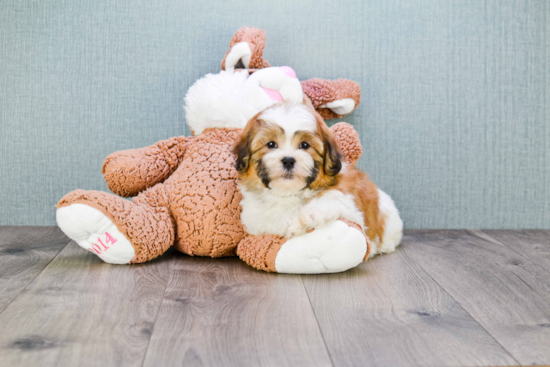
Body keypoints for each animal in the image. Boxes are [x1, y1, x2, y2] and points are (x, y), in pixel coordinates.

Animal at [234, 100, 406, 256]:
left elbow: (331, 202)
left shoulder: (348, 205)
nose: (288, 160)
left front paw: (309, 215)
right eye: (271, 144)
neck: (288, 192)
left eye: (304, 145)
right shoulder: (254, 217)